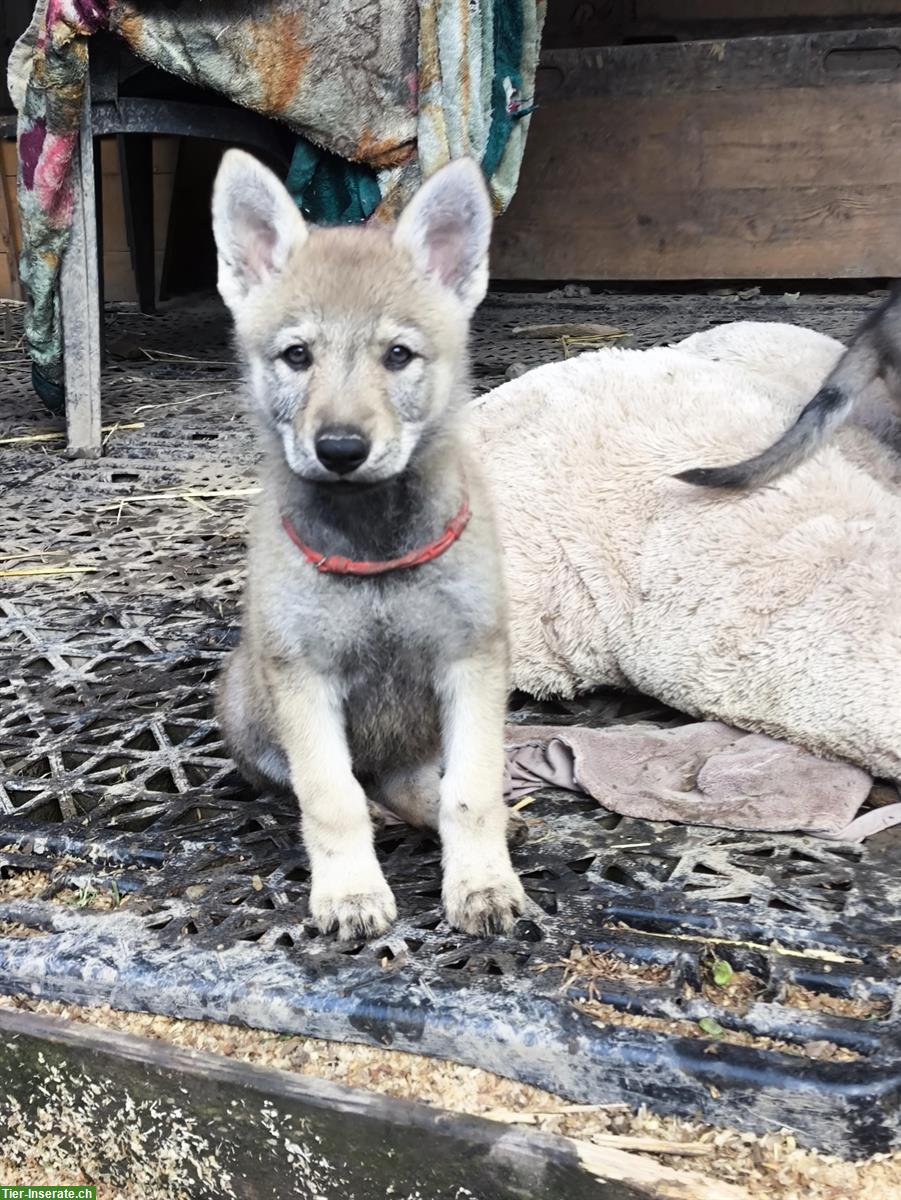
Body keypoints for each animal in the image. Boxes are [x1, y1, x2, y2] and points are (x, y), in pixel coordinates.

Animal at [211, 147, 527, 936]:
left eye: (398, 355)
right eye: (297, 355)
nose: (341, 448)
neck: (375, 551)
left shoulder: (471, 662)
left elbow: (471, 793)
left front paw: (481, 883)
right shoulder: (304, 678)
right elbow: (331, 799)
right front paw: (350, 891)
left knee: (418, 788)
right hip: (245, 699)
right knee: (338, 787)